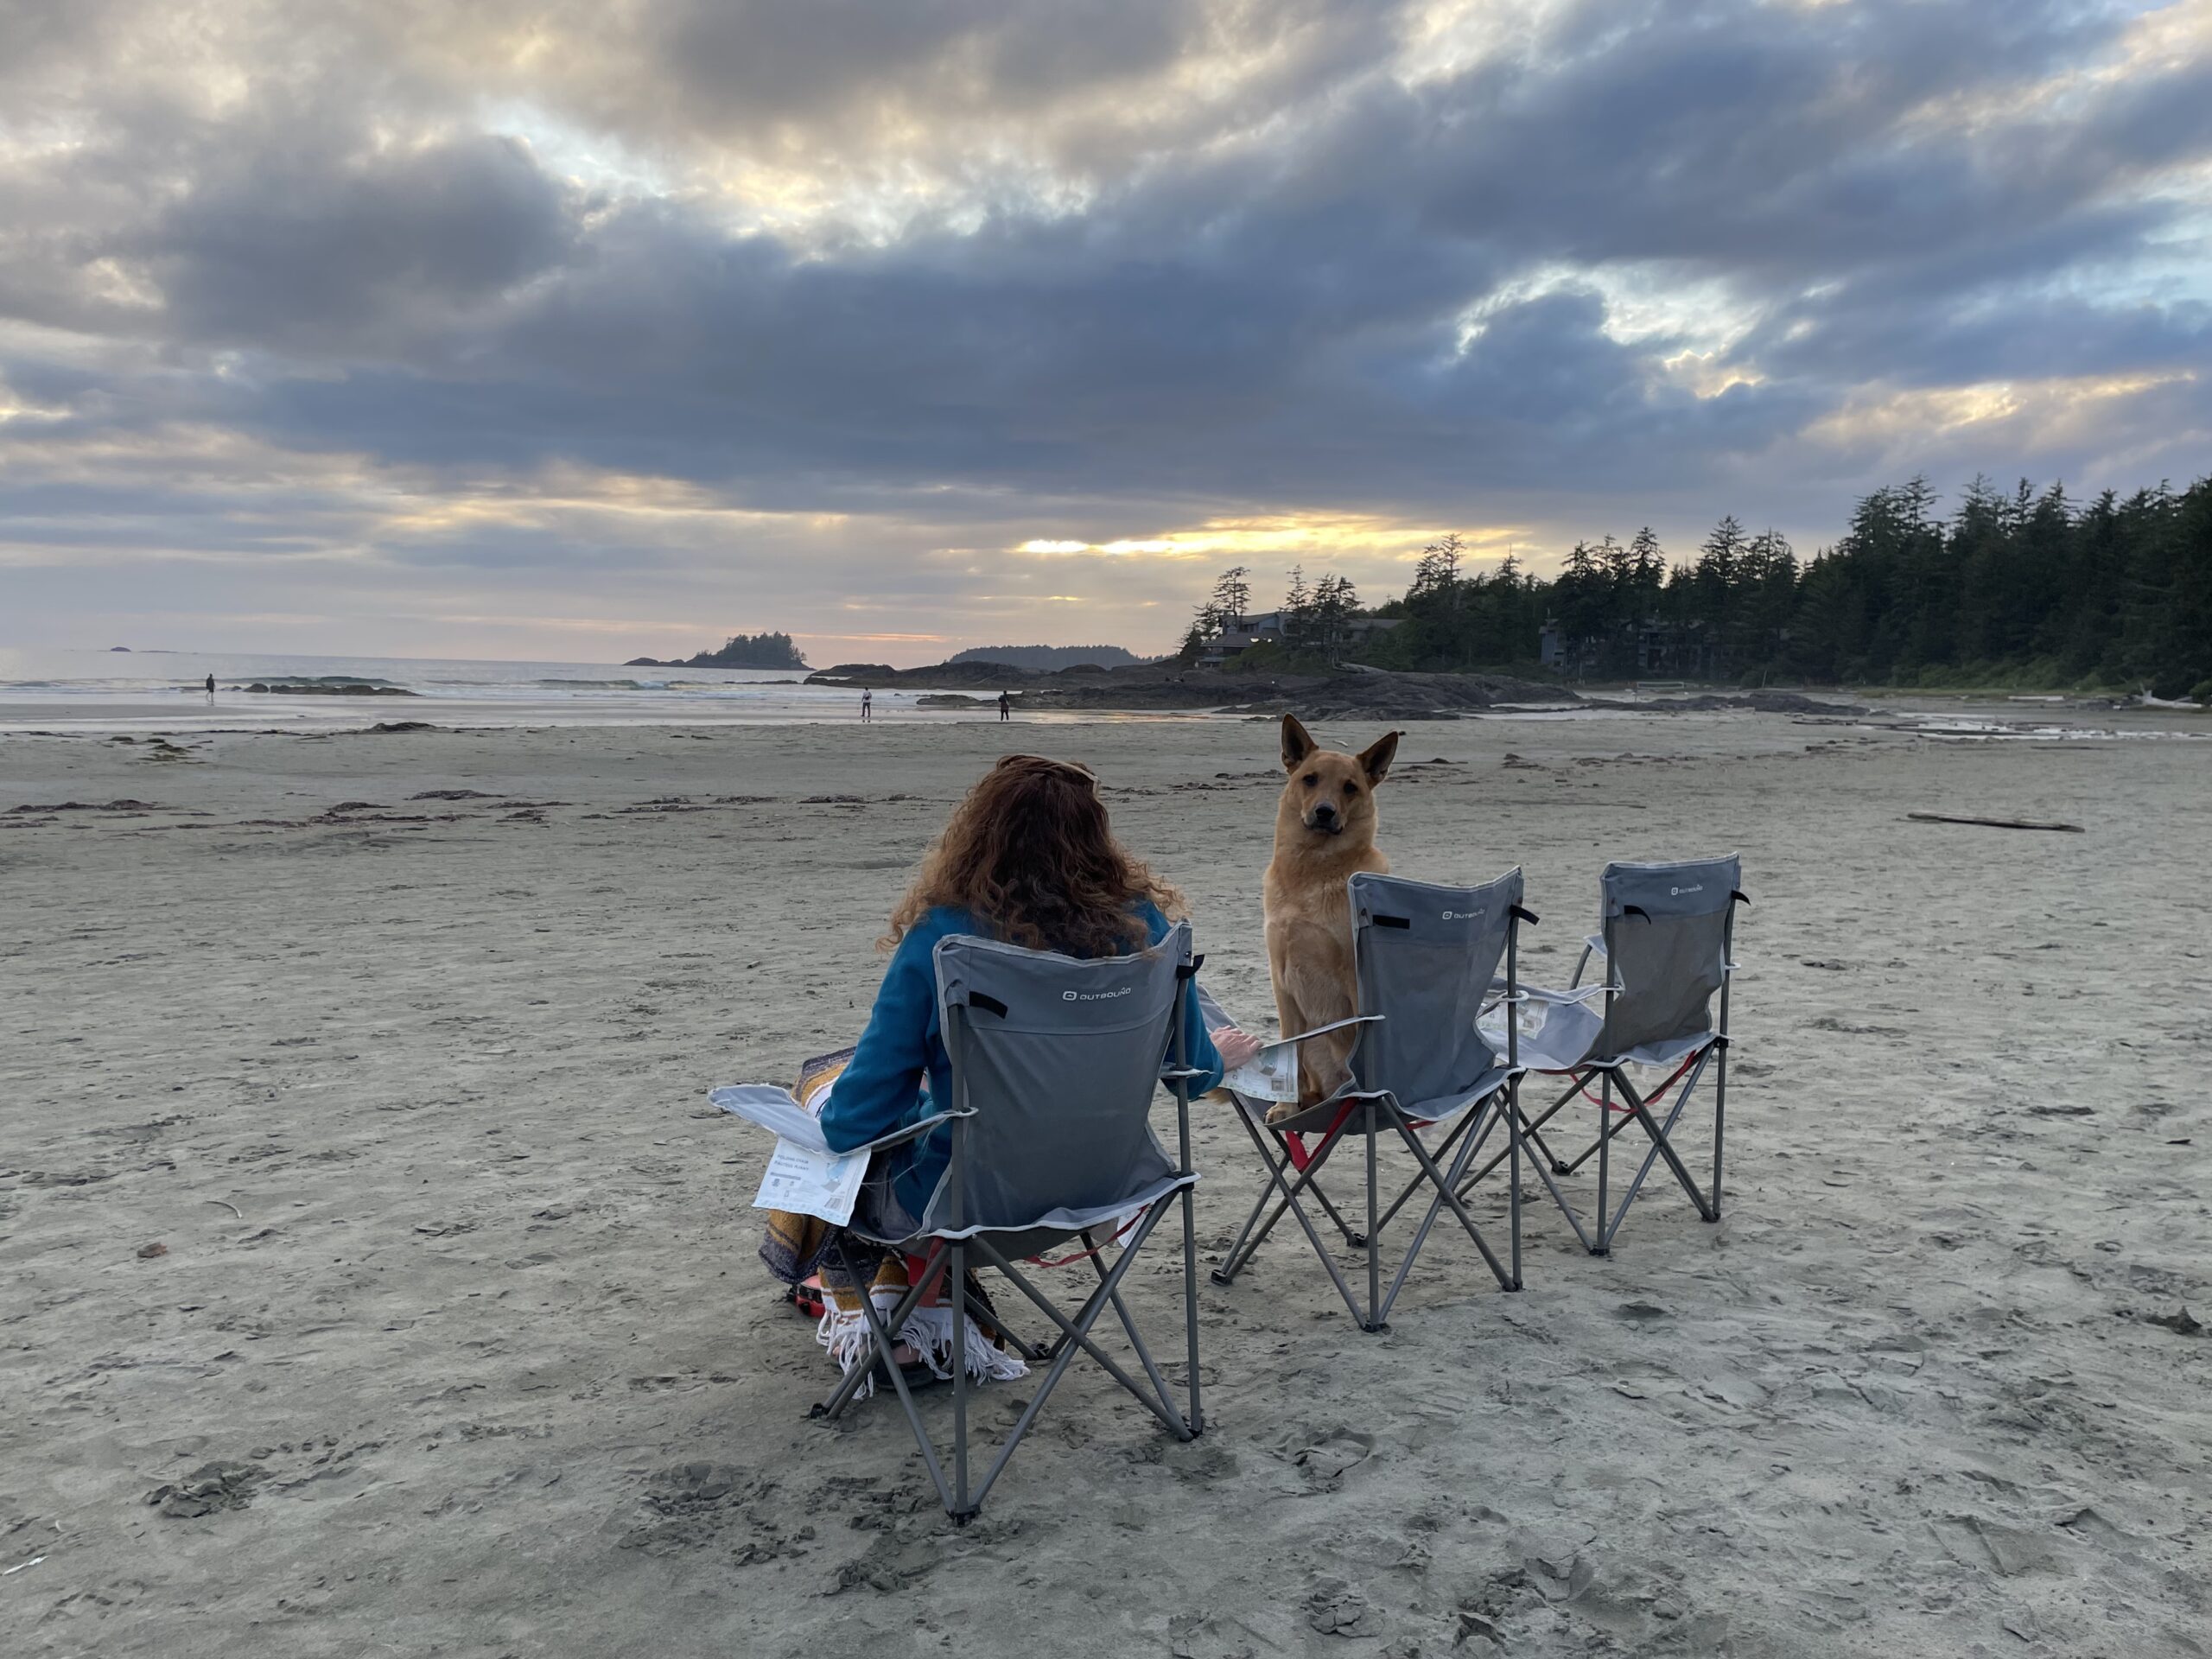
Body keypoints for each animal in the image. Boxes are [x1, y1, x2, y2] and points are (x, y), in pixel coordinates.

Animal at [1265, 716, 1397, 1123]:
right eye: (1310, 779)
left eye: (1350, 787)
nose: (1325, 812)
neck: (1313, 869)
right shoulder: (1281, 980)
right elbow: (1288, 1048)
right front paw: (1284, 1106)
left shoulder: (1355, 975)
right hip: (1315, 1046)